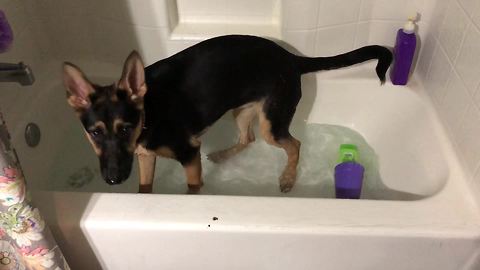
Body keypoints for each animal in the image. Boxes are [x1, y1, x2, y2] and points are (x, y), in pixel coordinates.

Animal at [62, 34, 394, 193]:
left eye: (125, 128)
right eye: (94, 133)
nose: (113, 180)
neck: (149, 113)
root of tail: (292, 58)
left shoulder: (188, 154)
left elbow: (193, 188)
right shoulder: (144, 157)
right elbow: (145, 188)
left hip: (272, 123)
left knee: (293, 144)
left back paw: (288, 178)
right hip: (242, 111)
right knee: (247, 139)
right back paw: (223, 155)